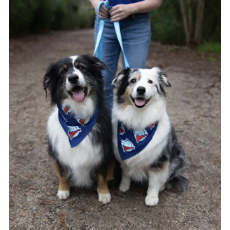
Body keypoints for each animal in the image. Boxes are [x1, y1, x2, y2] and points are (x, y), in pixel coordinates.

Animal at [43, 54, 114, 204]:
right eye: (62, 72)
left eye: (81, 67)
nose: (73, 78)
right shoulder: (60, 153)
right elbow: (63, 174)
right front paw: (63, 190)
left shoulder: (102, 151)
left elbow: (102, 175)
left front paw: (104, 193)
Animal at [111, 67, 189, 207]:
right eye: (133, 80)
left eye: (150, 82)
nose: (141, 89)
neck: (139, 119)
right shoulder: (123, 157)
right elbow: (126, 173)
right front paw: (124, 186)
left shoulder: (158, 161)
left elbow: (154, 182)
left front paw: (152, 197)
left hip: (176, 156)